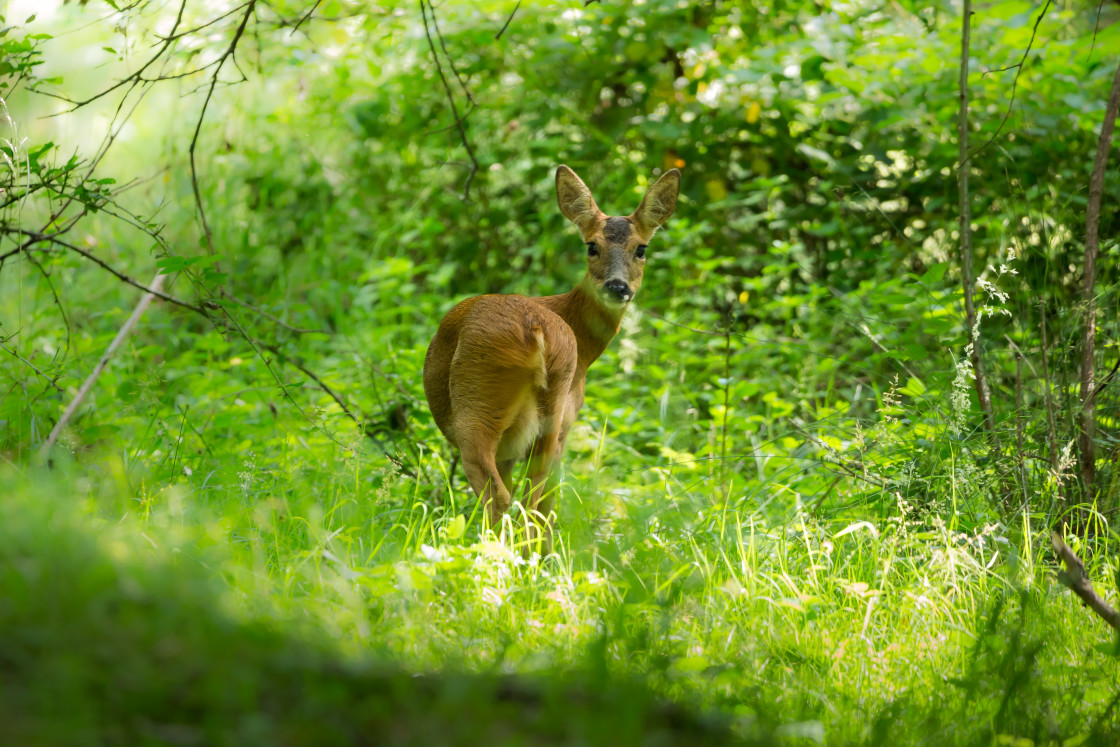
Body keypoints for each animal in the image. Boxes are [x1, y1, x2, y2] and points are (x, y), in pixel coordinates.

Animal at [421, 166, 676, 553]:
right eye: (592, 246)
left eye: (641, 248)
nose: (618, 287)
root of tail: (535, 330)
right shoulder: (564, 424)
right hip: (547, 414)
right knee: (533, 498)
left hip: (478, 403)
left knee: (500, 496)